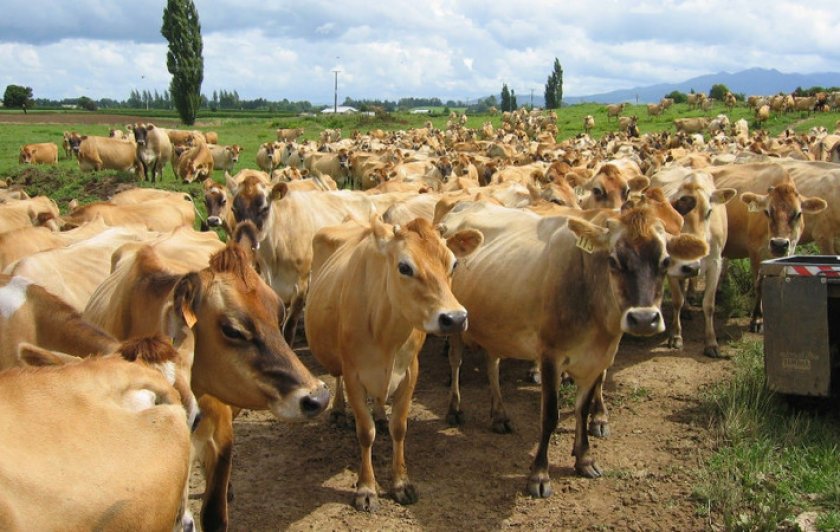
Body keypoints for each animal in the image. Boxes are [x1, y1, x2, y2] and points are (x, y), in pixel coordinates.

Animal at [305, 215, 482, 512]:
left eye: (454, 263)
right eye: (404, 267)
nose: (455, 318)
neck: (385, 332)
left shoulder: (410, 371)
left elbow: (399, 428)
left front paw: (400, 483)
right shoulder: (354, 374)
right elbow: (365, 432)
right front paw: (366, 488)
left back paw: (379, 413)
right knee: (338, 379)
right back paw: (339, 410)